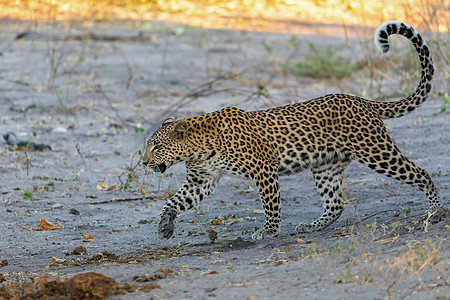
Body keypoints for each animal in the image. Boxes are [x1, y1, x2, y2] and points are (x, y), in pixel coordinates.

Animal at [142, 20, 442, 241]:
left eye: (156, 146)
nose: (144, 162)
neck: (197, 149)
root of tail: (364, 101)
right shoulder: (200, 180)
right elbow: (174, 201)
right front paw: (165, 225)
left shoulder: (263, 169)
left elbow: (270, 203)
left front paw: (269, 231)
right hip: (325, 166)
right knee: (335, 204)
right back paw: (312, 226)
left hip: (376, 152)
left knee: (421, 173)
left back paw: (436, 213)